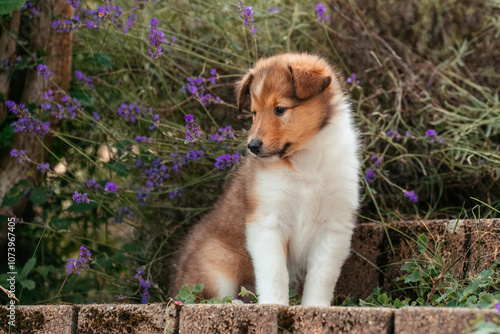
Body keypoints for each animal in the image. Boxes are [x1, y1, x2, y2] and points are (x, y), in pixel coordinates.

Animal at [173, 53, 360, 306]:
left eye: (280, 109)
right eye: (254, 112)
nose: (252, 146)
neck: (305, 162)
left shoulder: (334, 226)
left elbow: (322, 275)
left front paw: (315, 306)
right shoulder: (267, 221)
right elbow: (275, 272)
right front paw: (274, 304)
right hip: (216, 264)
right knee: (204, 298)